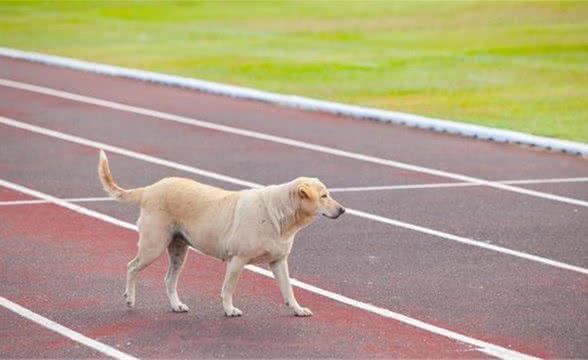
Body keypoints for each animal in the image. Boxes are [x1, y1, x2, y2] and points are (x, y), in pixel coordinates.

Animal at [96, 150, 344, 316]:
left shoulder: (279, 261)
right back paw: (130, 299)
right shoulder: (237, 260)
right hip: (153, 245)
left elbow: (288, 290)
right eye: (323, 196)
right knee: (131, 267)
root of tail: (149, 189)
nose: (342, 210)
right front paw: (229, 309)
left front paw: (297, 309)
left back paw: (176, 305)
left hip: (178, 251)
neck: (281, 213)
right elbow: (227, 289)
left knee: (169, 280)